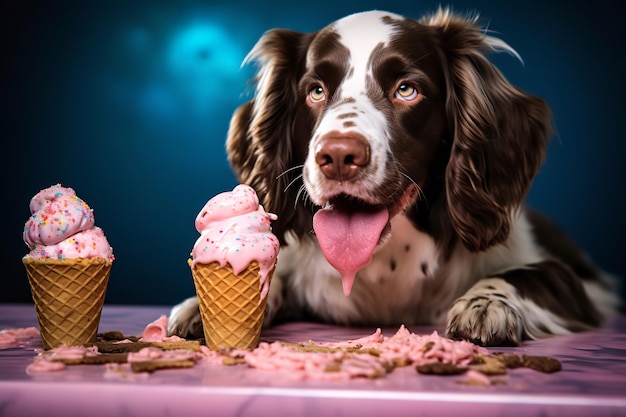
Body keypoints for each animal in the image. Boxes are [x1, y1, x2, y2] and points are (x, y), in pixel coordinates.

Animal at [167, 8, 620, 346]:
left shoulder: (575, 285)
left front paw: (487, 303)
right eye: (315, 91)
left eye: (407, 90)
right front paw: (198, 308)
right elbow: (268, 276)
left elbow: (527, 275)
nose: (338, 156)